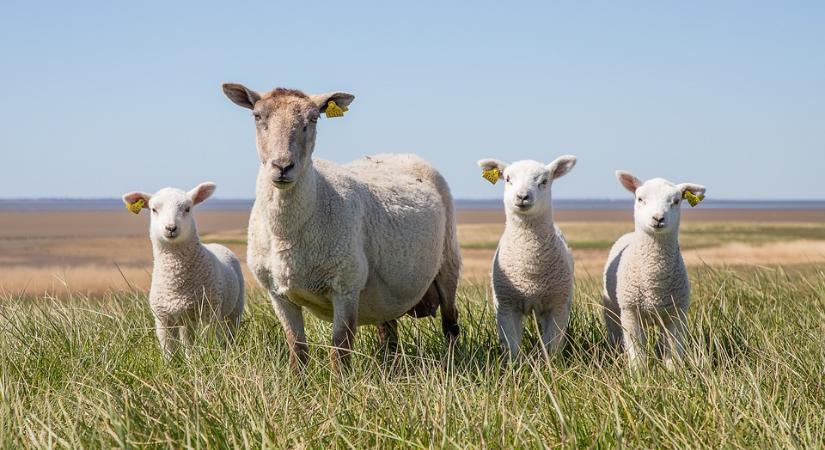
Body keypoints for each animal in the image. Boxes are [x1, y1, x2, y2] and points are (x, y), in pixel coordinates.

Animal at [121, 182, 245, 358]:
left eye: (187, 208)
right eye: (153, 209)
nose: (171, 228)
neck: (177, 282)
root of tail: (216, 244)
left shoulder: (208, 312)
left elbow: (208, 340)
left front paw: (208, 357)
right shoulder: (162, 318)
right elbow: (168, 350)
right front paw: (171, 364)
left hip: (234, 309)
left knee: (230, 331)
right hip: (186, 318)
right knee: (188, 340)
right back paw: (190, 358)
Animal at [222, 81, 460, 370]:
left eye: (314, 119)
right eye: (257, 116)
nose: (282, 166)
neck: (288, 232)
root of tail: (399, 154)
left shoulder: (346, 286)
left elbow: (340, 350)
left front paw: (340, 382)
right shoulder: (278, 293)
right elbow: (297, 349)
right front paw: (298, 379)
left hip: (448, 262)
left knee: (451, 324)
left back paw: (451, 364)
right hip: (385, 295)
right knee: (389, 332)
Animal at [474, 156, 576, 360]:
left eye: (544, 181)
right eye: (507, 179)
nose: (522, 197)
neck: (530, 268)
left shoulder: (557, 306)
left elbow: (553, 346)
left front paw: (551, 365)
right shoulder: (506, 306)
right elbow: (512, 347)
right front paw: (514, 366)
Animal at [600, 170, 708, 370]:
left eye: (676, 201)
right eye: (640, 198)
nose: (658, 218)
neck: (654, 279)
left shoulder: (676, 314)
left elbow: (673, 351)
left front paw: (673, 373)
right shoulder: (631, 313)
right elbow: (636, 353)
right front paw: (638, 374)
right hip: (612, 310)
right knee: (616, 335)